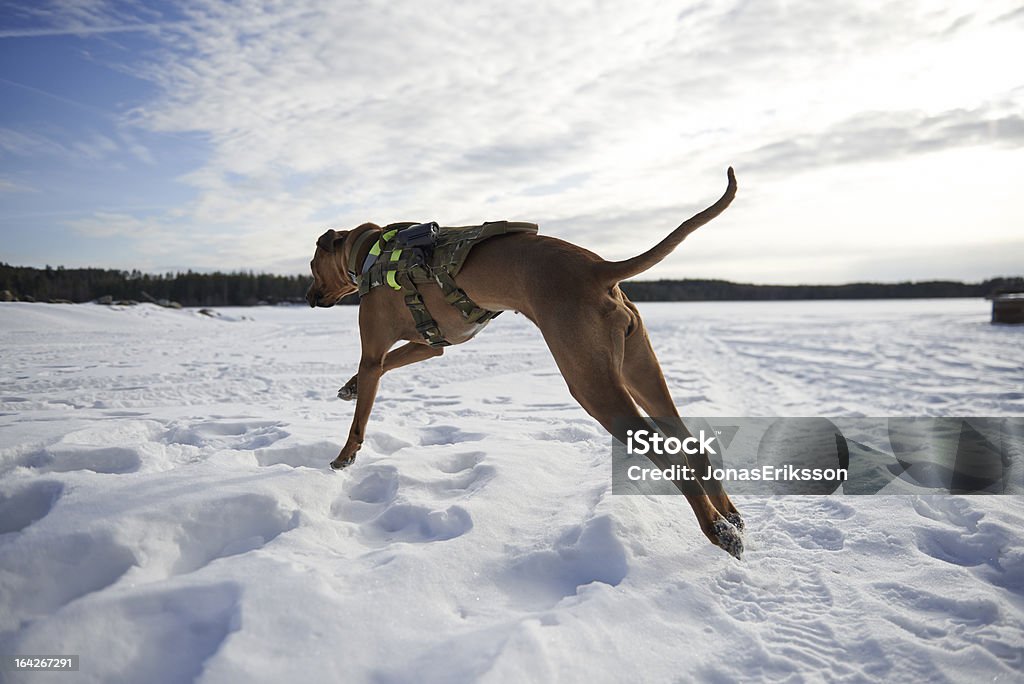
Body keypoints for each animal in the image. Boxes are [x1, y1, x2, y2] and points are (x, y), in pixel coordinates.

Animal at [305, 167, 745, 557]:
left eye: (311, 266)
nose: (308, 298)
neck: (369, 252)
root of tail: (598, 268)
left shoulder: (374, 350)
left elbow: (363, 407)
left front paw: (344, 457)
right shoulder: (431, 343)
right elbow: (385, 367)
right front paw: (349, 387)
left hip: (593, 385)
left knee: (670, 454)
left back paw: (718, 530)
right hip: (639, 369)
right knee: (691, 443)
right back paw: (730, 515)